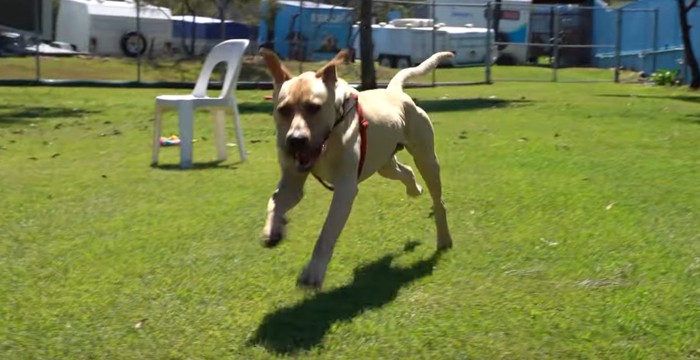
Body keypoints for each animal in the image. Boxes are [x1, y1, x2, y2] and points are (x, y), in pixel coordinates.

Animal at [260, 49, 452, 288]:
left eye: (314, 107)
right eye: (283, 109)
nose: (295, 140)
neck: (329, 139)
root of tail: (394, 92)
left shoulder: (345, 190)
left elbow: (326, 233)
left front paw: (313, 272)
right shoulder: (291, 183)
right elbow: (275, 202)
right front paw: (273, 229)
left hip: (426, 158)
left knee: (438, 200)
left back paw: (444, 237)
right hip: (384, 163)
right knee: (406, 171)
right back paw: (414, 190)